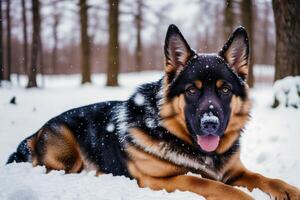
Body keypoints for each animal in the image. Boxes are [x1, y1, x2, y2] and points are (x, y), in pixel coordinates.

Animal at [7, 25, 300, 200]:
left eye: (225, 90)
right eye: (191, 91)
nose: (210, 123)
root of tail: (35, 132)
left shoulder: (237, 172)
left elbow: (265, 178)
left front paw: (289, 189)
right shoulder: (161, 180)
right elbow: (208, 183)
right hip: (68, 157)